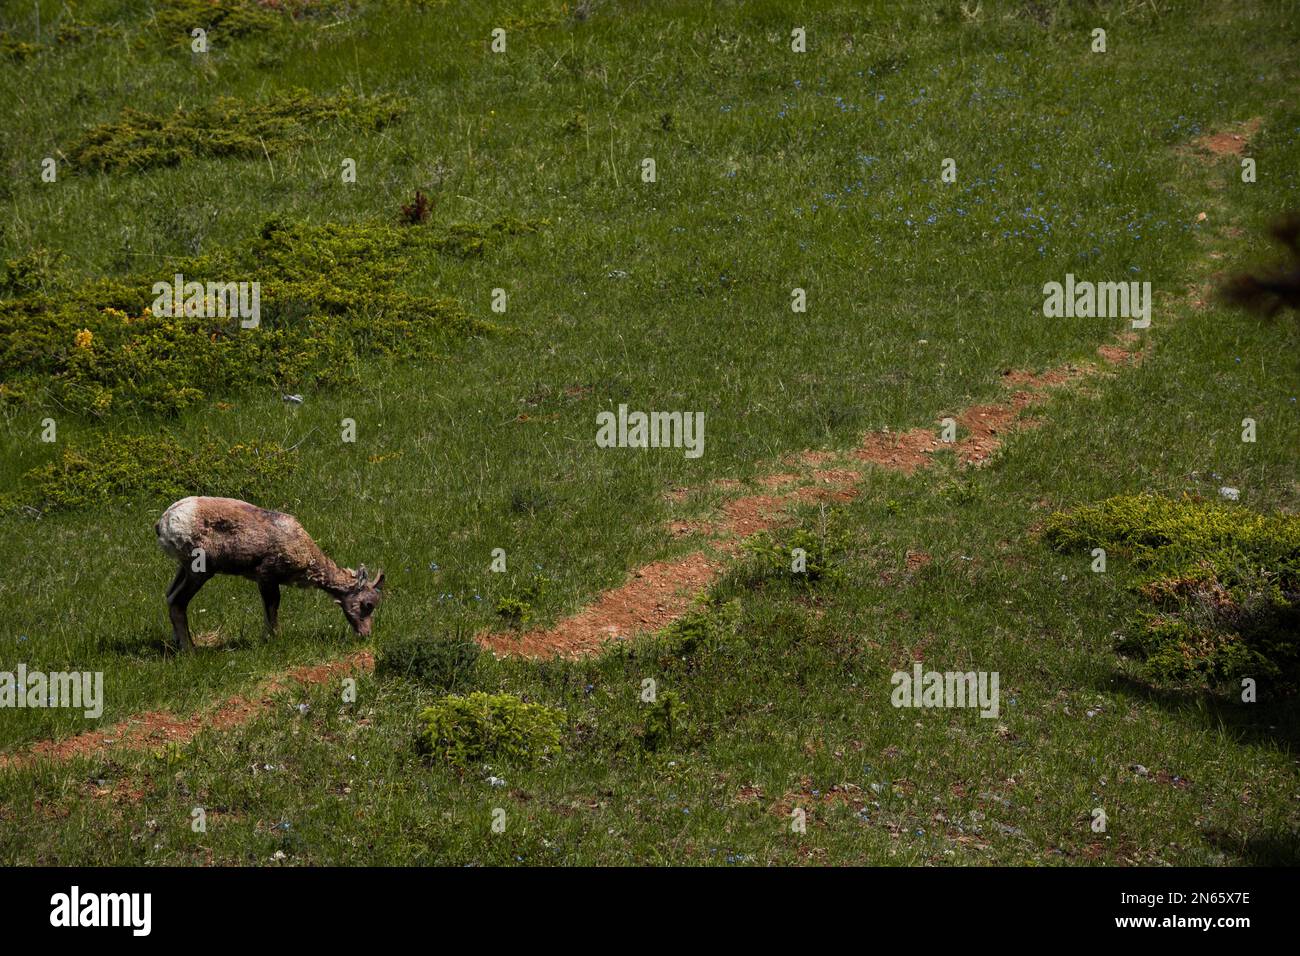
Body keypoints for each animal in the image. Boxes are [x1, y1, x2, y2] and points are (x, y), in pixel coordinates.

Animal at [154, 502, 382, 650]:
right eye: (367, 604)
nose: (366, 634)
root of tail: (163, 523)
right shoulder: (267, 577)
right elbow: (272, 606)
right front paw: (273, 639)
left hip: (184, 569)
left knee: (169, 596)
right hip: (199, 571)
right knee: (177, 602)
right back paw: (190, 650)